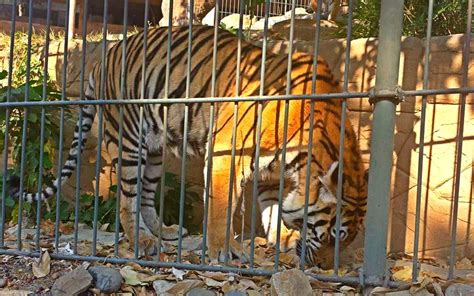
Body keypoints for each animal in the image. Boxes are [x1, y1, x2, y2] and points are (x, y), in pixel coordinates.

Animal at [9, 24, 368, 266]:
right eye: (333, 235)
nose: (324, 267)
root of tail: (104, 55)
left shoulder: (271, 172)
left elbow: (273, 208)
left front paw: (283, 238)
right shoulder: (227, 155)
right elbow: (222, 207)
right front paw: (225, 249)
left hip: (153, 150)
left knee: (146, 196)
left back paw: (165, 232)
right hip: (127, 141)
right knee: (127, 199)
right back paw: (143, 241)